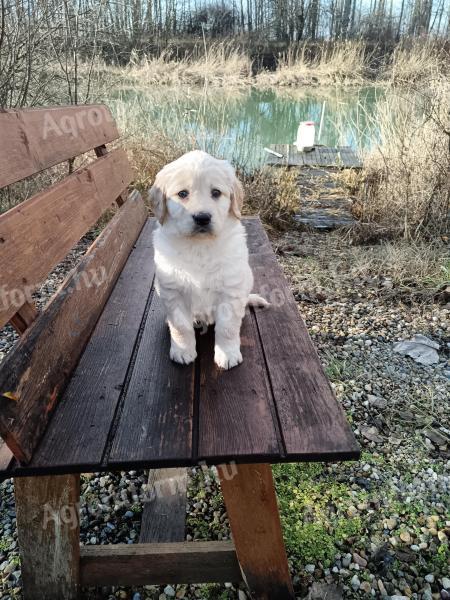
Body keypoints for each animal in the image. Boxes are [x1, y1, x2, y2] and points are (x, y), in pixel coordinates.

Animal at [149, 150, 268, 368]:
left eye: (216, 193)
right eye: (182, 194)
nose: (202, 218)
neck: (200, 247)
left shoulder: (231, 290)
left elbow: (227, 328)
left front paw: (228, 354)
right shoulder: (172, 292)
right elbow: (180, 327)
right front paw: (182, 351)